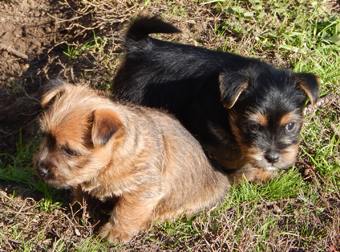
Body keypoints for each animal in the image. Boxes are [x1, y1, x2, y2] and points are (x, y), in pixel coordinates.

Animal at [33, 81, 230, 243]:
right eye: (43, 135)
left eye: (70, 151)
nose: (41, 169)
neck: (111, 162)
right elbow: (82, 192)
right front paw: (79, 209)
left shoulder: (142, 189)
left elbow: (126, 211)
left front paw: (114, 233)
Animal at [113, 16, 320, 185]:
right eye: (253, 126)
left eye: (290, 126)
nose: (273, 157)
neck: (226, 111)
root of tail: (142, 48)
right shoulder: (201, 118)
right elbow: (231, 152)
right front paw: (245, 171)